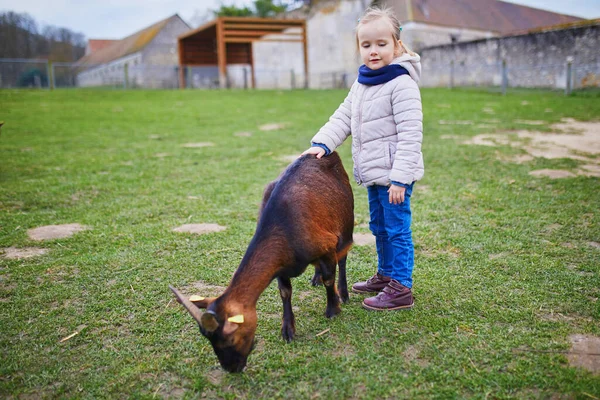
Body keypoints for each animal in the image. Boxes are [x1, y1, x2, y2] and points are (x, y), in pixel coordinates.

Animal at [169, 152, 354, 372]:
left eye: (230, 338)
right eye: (209, 341)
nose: (232, 368)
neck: (284, 228)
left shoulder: (326, 245)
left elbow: (329, 279)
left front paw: (333, 309)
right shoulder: (282, 265)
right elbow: (285, 292)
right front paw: (287, 329)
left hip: (345, 223)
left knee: (343, 257)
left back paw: (343, 292)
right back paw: (315, 278)